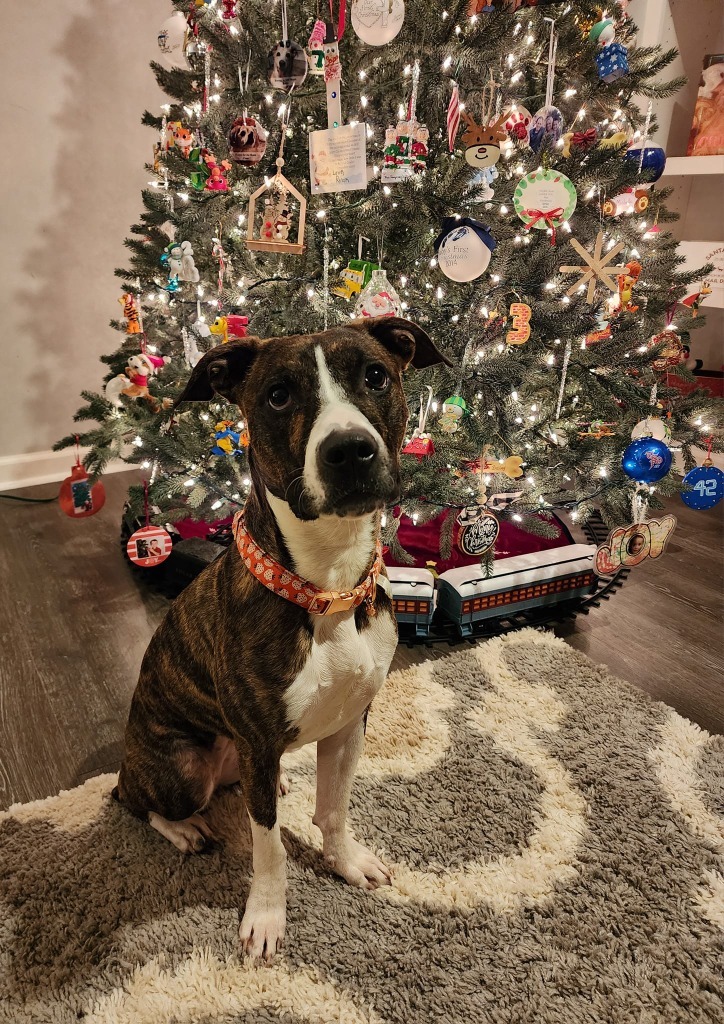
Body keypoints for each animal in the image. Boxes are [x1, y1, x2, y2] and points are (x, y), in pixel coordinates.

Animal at [114, 313, 450, 958]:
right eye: (277, 395)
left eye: (375, 376)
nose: (350, 450)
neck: (328, 585)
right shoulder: (259, 742)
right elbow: (268, 847)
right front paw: (267, 918)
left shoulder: (349, 723)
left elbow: (336, 809)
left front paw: (345, 862)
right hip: (183, 768)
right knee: (136, 801)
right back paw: (184, 829)